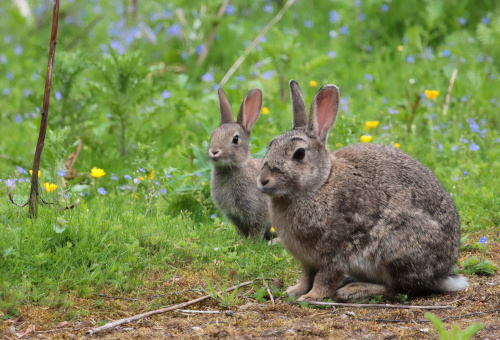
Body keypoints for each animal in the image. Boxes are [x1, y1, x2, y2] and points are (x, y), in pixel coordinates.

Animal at [207, 89, 272, 240]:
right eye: (212, 135)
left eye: (235, 139)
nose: (214, 151)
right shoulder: (235, 216)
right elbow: (241, 230)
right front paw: (241, 241)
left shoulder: (257, 210)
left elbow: (256, 229)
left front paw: (252, 242)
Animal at [258, 79, 468, 300]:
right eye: (271, 144)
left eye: (299, 154)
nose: (263, 180)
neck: (319, 185)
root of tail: (441, 274)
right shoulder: (307, 261)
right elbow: (306, 276)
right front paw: (294, 290)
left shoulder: (335, 252)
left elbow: (325, 278)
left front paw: (311, 297)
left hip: (393, 249)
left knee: (399, 287)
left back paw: (354, 289)